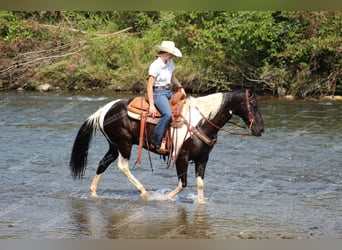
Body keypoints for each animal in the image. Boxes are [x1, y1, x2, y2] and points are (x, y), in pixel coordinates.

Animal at [68, 88, 264, 203]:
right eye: (254, 105)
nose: (261, 129)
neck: (201, 122)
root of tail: (104, 110)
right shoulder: (182, 156)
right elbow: (182, 184)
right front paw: (163, 198)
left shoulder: (202, 158)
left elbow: (200, 184)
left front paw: (201, 203)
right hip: (124, 145)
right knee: (122, 166)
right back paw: (145, 193)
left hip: (114, 146)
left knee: (103, 163)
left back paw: (93, 194)